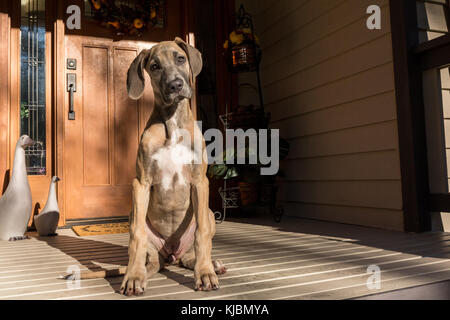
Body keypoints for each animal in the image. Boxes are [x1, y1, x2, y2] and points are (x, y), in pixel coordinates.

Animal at [120, 38, 227, 298]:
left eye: (180, 58)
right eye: (155, 66)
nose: (175, 85)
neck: (173, 124)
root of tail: (170, 254)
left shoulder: (200, 181)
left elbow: (201, 235)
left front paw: (205, 272)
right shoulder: (141, 183)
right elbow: (136, 235)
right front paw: (133, 276)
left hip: (209, 213)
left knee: (190, 254)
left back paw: (212, 265)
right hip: (133, 216)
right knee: (148, 251)